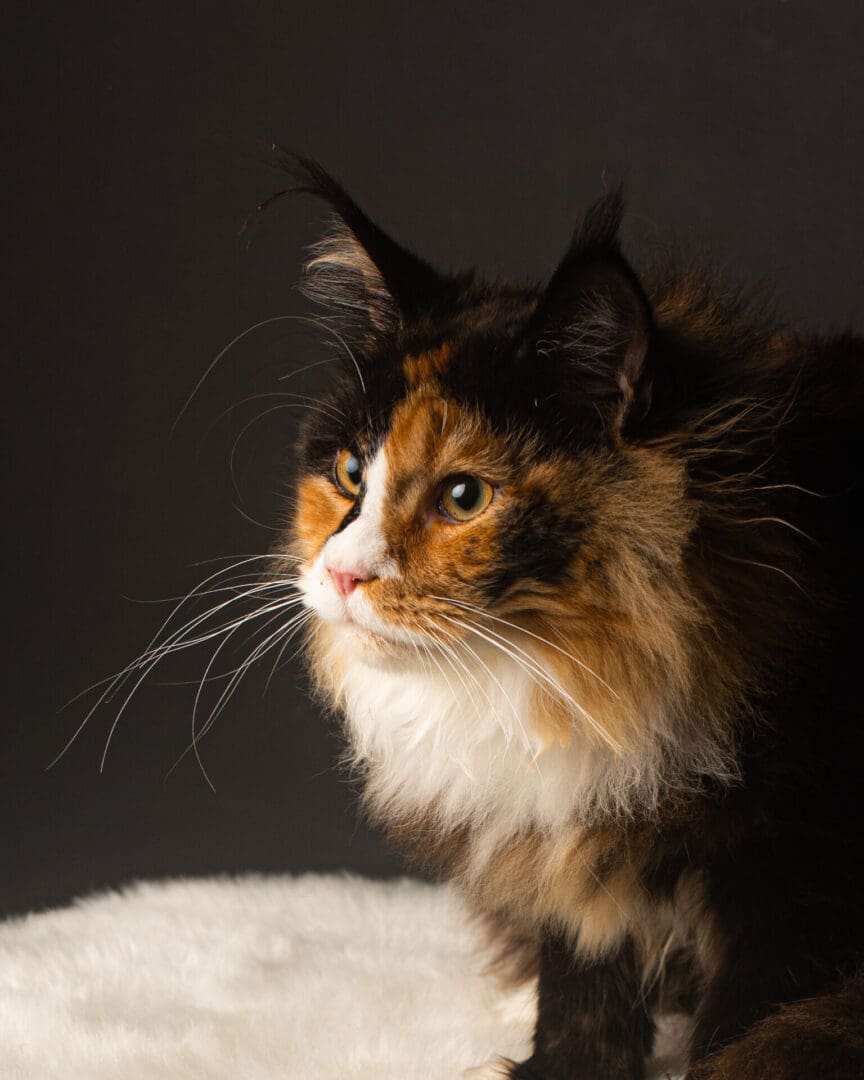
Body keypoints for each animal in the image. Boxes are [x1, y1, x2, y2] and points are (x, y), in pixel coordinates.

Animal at [280, 154, 859, 1080]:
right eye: (348, 473)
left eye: (463, 497)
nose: (340, 573)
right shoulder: (575, 831)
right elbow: (586, 973)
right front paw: (559, 1066)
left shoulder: (797, 869)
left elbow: (748, 1024)